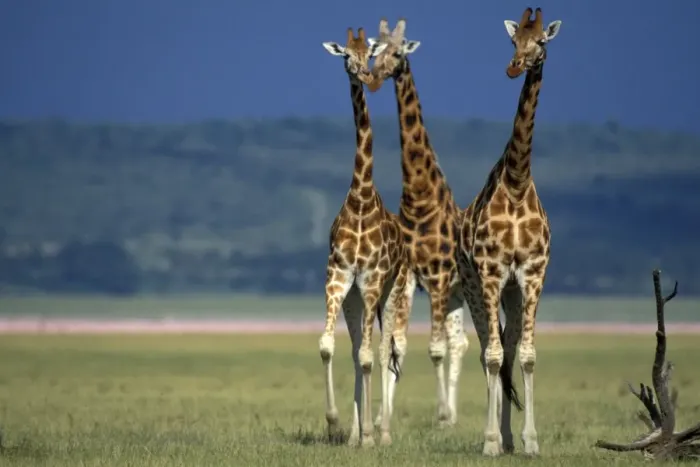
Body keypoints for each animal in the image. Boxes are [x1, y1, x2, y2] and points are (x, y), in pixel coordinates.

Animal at [366, 18, 471, 428]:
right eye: (374, 52)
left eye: (398, 52)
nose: (374, 77)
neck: (420, 198)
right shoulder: (411, 278)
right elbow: (401, 344)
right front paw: (384, 417)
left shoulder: (439, 277)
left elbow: (434, 348)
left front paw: (440, 413)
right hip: (456, 294)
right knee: (460, 342)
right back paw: (453, 415)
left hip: (457, 290)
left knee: (456, 343)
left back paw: (449, 416)